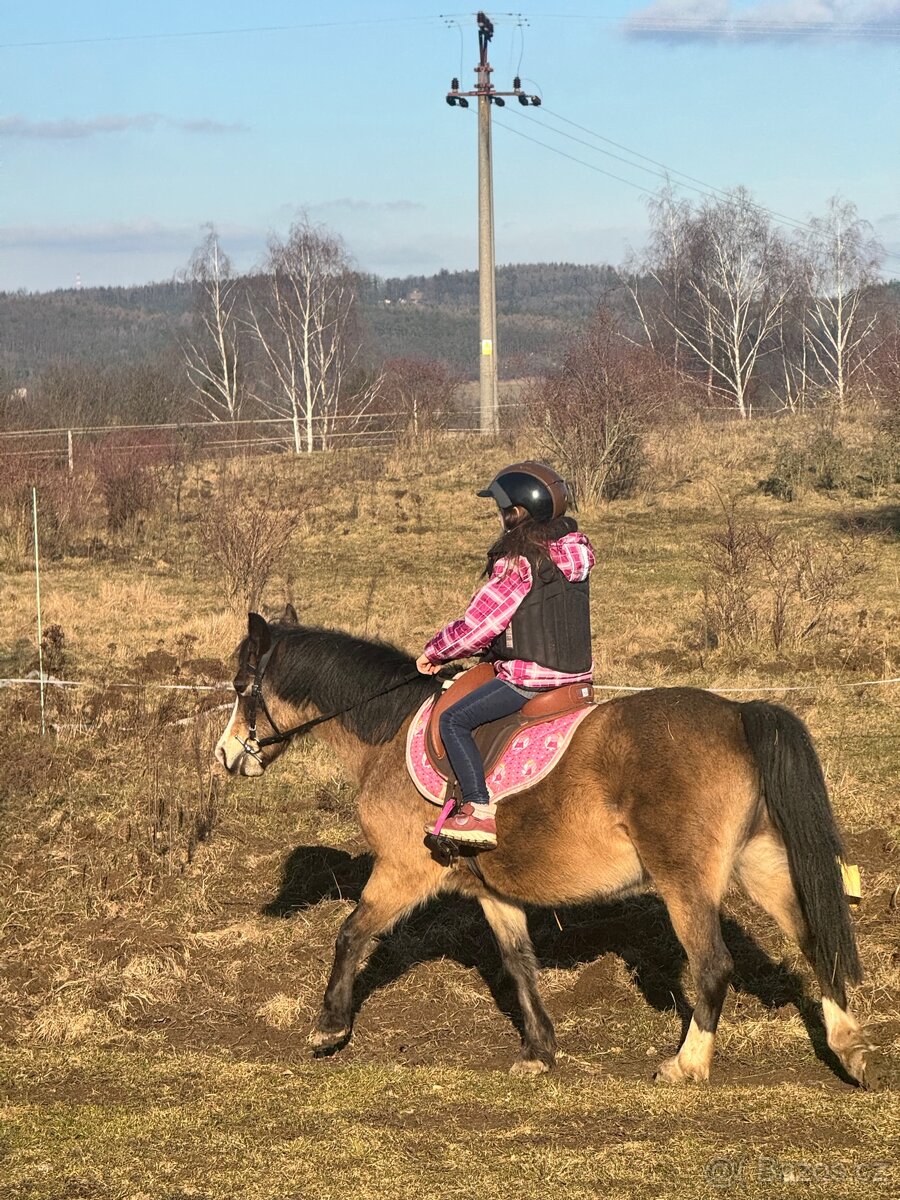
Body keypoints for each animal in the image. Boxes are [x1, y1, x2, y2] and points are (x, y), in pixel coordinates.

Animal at [214, 608, 883, 1088]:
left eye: (243, 685)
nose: (224, 755)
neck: (390, 731)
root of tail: (739, 713)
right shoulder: (490, 891)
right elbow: (518, 963)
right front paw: (539, 1050)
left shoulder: (404, 872)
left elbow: (351, 934)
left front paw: (329, 1029)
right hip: (761, 864)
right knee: (817, 941)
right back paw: (849, 1048)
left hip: (685, 882)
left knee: (713, 966)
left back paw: (687, 1064)